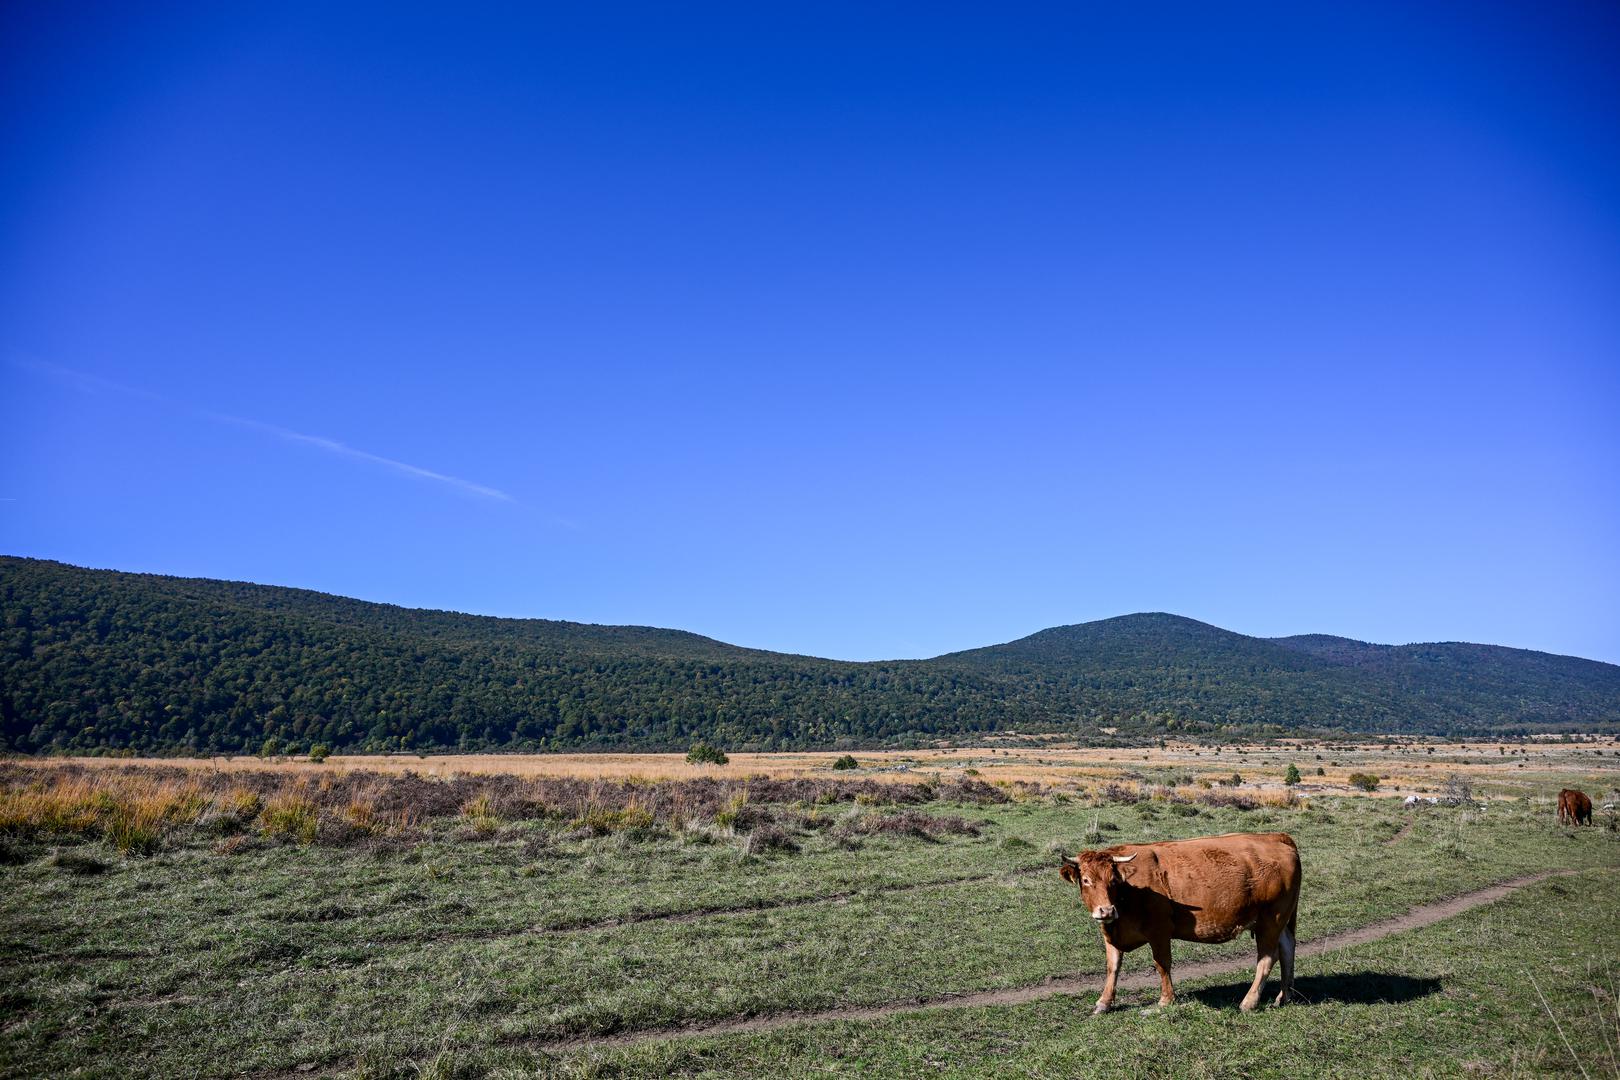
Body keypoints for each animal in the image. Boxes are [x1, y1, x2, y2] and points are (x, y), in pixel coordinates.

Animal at [1056, 835, 1308, 1016]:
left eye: (1113, 880)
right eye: (1086, 880)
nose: (1106, 911)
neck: (1130, 892)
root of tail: (1276, 837)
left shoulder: (1159, 931)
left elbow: (1162, 965)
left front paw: (1166, 1000)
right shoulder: (1111, 932)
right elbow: (1113, 967)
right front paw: (1104, 1002)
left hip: (1271, 920)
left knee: (1268, 957)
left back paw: (1249, 1002)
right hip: (1279, 921)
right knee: (1287, 947)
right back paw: (1284, 996)